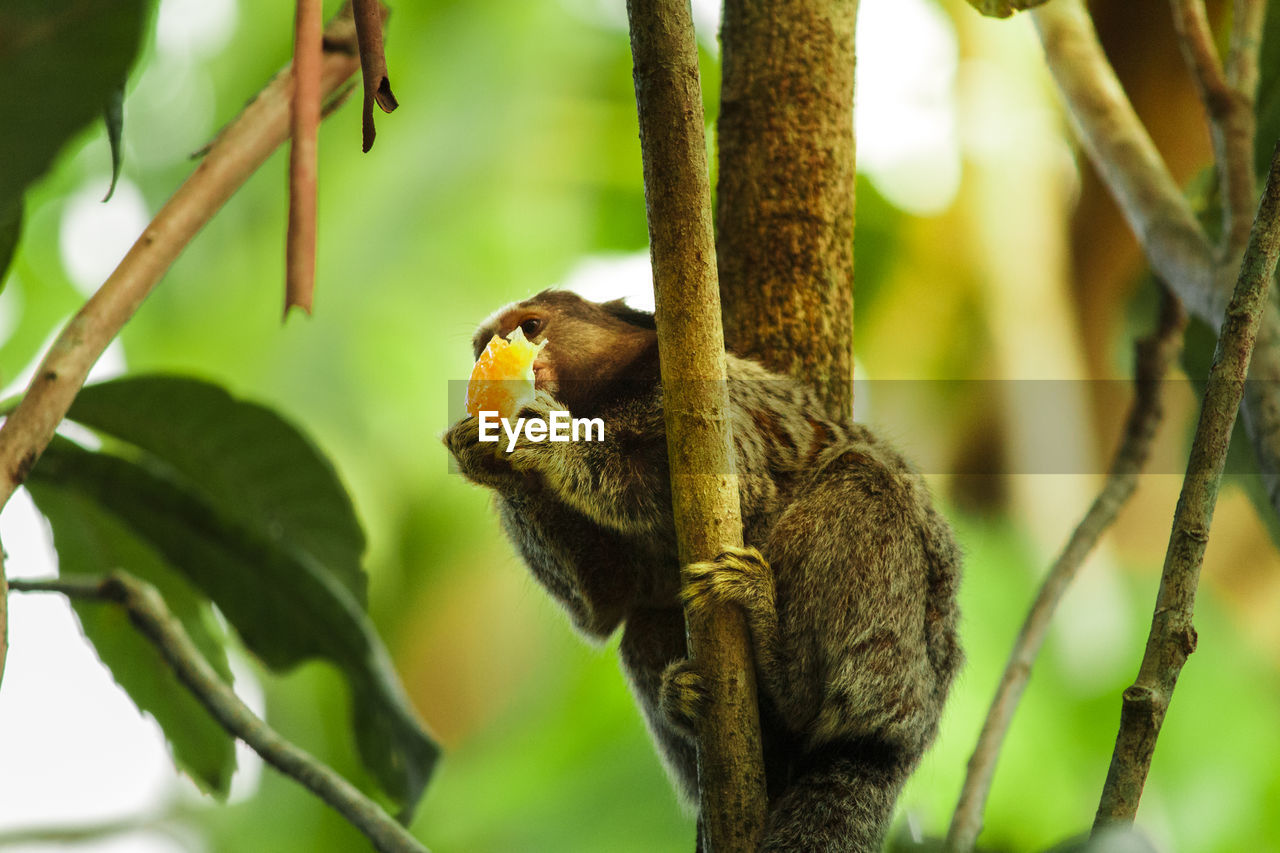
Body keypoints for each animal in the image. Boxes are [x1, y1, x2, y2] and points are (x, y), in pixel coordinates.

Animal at [448, 289, 962, 845]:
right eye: (483, 346)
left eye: (531, 326)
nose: (497, 352)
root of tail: (914, 730)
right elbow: (607, 603)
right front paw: (489, 459)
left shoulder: (710, 398)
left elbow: (736, 488)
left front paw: (550, 437)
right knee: (644, 622)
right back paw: (692, 707)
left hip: (896, 658)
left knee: (862, 480)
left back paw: (781, 665)